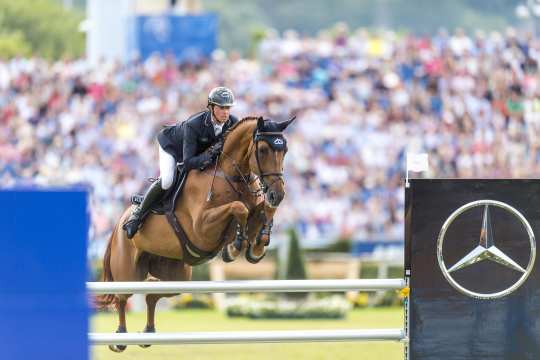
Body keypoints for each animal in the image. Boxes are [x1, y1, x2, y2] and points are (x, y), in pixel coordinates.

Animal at [97, 116, 296, 352]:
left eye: (284, 150)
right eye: (264, 150)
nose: (278, 194)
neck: (230, 175)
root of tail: (118, 222)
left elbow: (263, 210)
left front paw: (256, 246)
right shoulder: (202, 228)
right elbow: (239, 208)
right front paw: (234, 247)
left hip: (177, 275)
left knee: (154, 292)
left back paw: (148, 332)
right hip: (129, 271)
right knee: (121, 296)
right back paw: (120, 338)